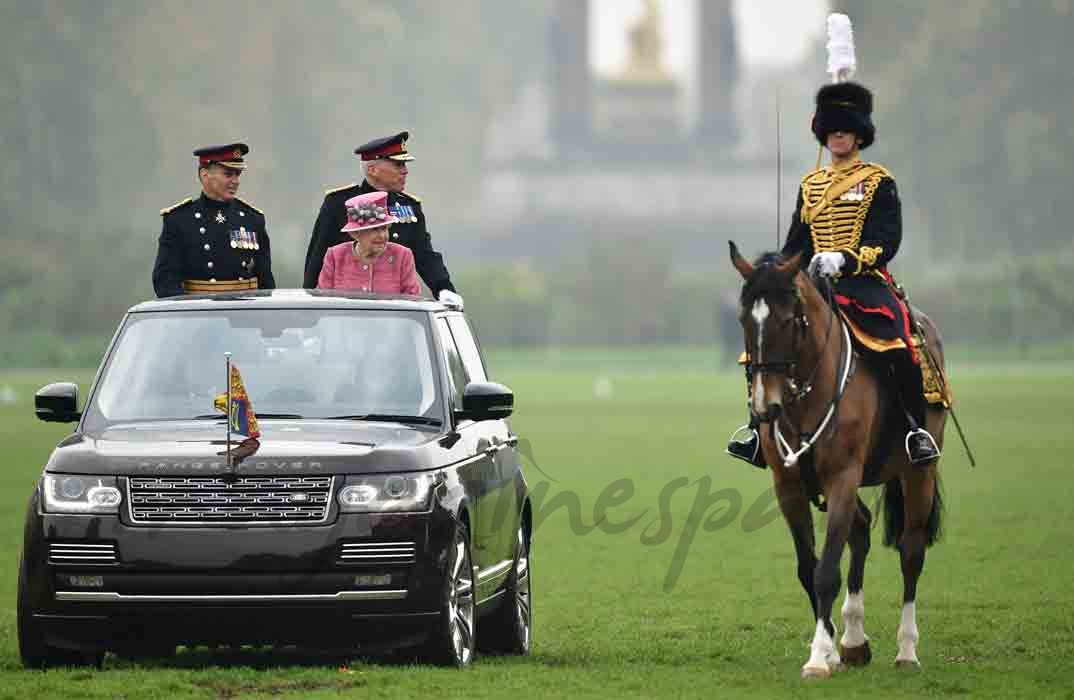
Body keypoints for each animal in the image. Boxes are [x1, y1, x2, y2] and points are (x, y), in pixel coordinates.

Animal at [730, 243, 949, 682]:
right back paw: (852, 641)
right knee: (861, 529)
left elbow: (826, 570)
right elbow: (808, 568)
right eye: (745, 318)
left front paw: (818, 657)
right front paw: (829, 648)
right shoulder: (790, 487)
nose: (764, 407)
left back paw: (906, 650)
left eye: (788, 320)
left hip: (919, 473)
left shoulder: (843, 478)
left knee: (911, 551)